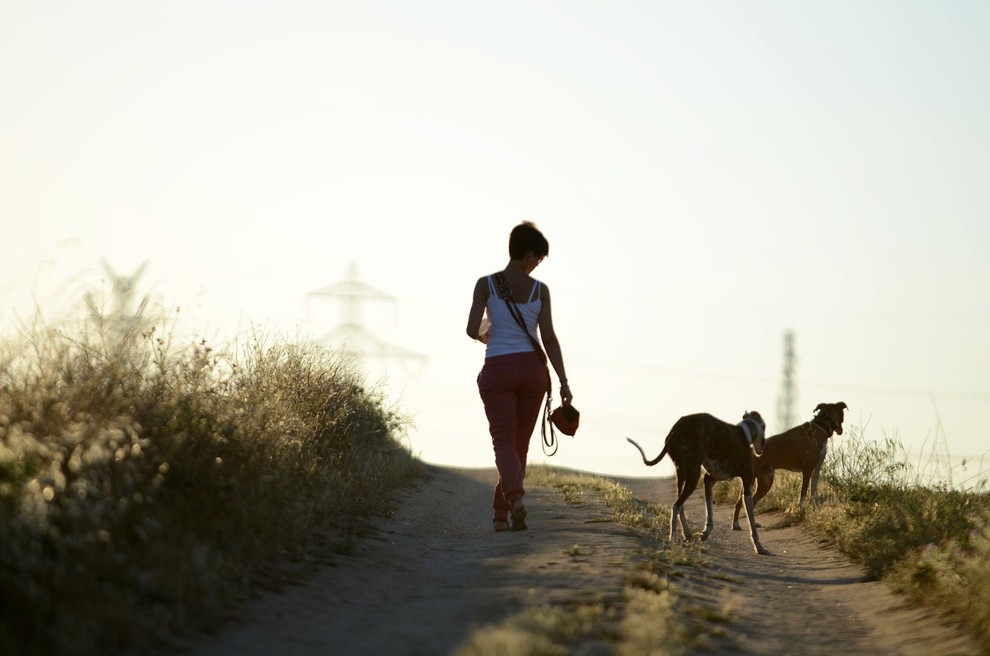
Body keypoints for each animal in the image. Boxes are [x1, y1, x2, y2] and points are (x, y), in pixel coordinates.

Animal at [632, 412, 772, 556]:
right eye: (764, 426)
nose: (762, 448)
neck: (745, 432)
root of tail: (677, 428)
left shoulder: (709, 480)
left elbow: (710, 515)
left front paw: (705, 533)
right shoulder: (747, 486)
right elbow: (752, 524)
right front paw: (759, 547)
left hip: (681, 474)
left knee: (680, 506)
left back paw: (686, 533)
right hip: (693, 474)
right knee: (676, 506)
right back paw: (673, 538)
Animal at [732, 400, 848, 532]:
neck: (821, 427)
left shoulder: (816, 471)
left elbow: (813, 493)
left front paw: (815, 510)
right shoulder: (807, 470)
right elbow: (803, 493)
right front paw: (801, 510)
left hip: (766, 482)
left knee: (752, 502)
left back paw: (754, 524)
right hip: (753, 481)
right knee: (739, 503)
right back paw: (736, 525)